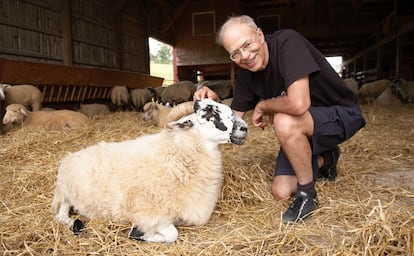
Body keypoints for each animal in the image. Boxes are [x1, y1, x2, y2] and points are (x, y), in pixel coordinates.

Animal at [50, 99, 247, 243]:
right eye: (208, 111)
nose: (244, 127)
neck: (178, 158)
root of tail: (70, 156)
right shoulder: (150, 214)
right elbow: (172, 235)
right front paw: (138, 234)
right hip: (65, 194)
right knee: (60, 215)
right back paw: (75, 224)